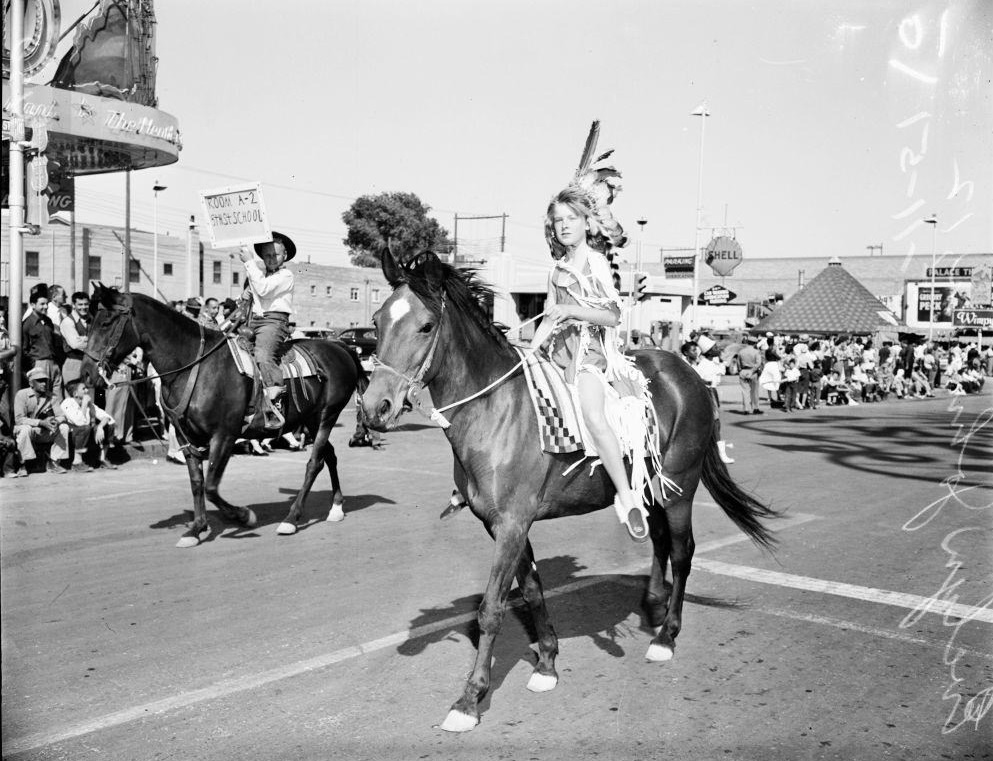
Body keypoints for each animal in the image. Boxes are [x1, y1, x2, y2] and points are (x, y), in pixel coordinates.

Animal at [81, 286, 366, 548]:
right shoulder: (186, 438)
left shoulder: (224, 435)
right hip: (311, 420)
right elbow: (197, 483)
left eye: (106, 322)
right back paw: (336, 508)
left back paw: (291, 518)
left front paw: (243, 516)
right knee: (329, 456)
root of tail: (341, 348)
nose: (86, 373)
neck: (195, 366)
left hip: (327, 416)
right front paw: (196, 529)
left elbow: (210, 487)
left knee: (314, 463)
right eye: (90, 321)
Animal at [360, 252, 780, 732]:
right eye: (376, 320)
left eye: (426, 325)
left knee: (682, 551)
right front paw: (546, 663)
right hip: (649, 488)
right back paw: (653, 604)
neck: (496, 409)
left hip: (679, 489)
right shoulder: (503, 525)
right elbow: (532, 592)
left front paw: (470, 699)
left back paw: (666, 636)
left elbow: (490, 609)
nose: (374, 409)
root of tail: (690, 375)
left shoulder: (512, 523)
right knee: (657, 541)